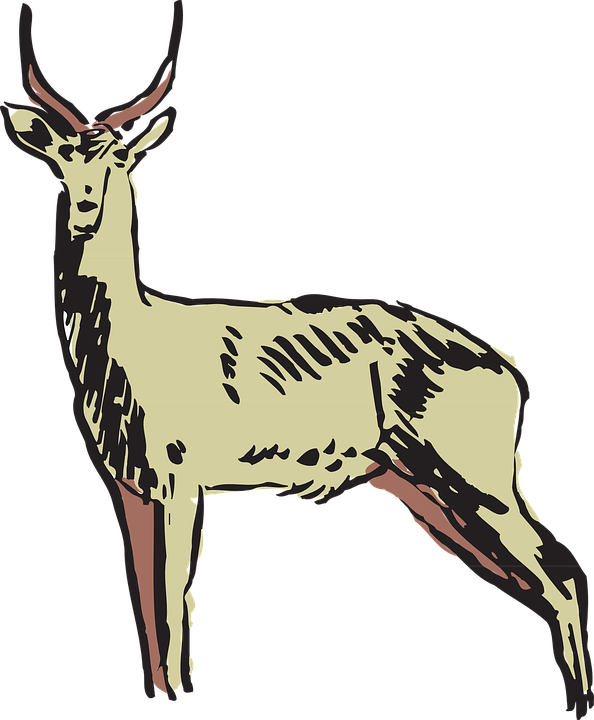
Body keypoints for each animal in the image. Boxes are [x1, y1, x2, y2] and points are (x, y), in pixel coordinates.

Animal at [2, 2, 592, 715]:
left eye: (118, 156)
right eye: (61, 155)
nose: (85, 207)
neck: (135, 346)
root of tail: (506, 367)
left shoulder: (180, 487)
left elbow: (174, 615)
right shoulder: (132, 492)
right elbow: (149, 614)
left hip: (479, 482)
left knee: (563, 577)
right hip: (430, 493)